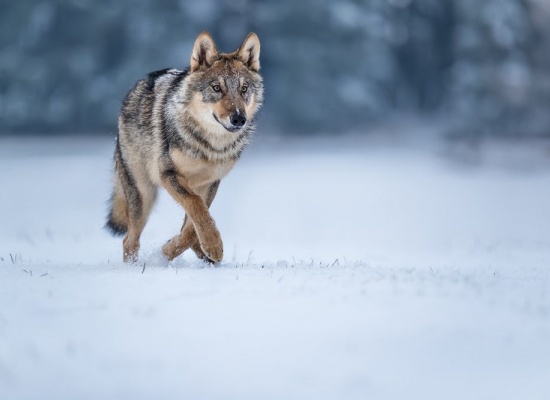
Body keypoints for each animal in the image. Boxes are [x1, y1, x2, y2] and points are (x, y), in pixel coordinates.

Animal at [105, 31, 266, 262]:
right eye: (217, 88)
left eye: (243, 89)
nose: (239, 119)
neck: (210, 146)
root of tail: (135, 88)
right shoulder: (169, 175)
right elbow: (196, 207)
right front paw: (211, 245)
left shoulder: (210, 182)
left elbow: (193, 224)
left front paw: (179, 248)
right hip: (144, 195)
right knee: (129, 240)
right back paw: (133, 266)